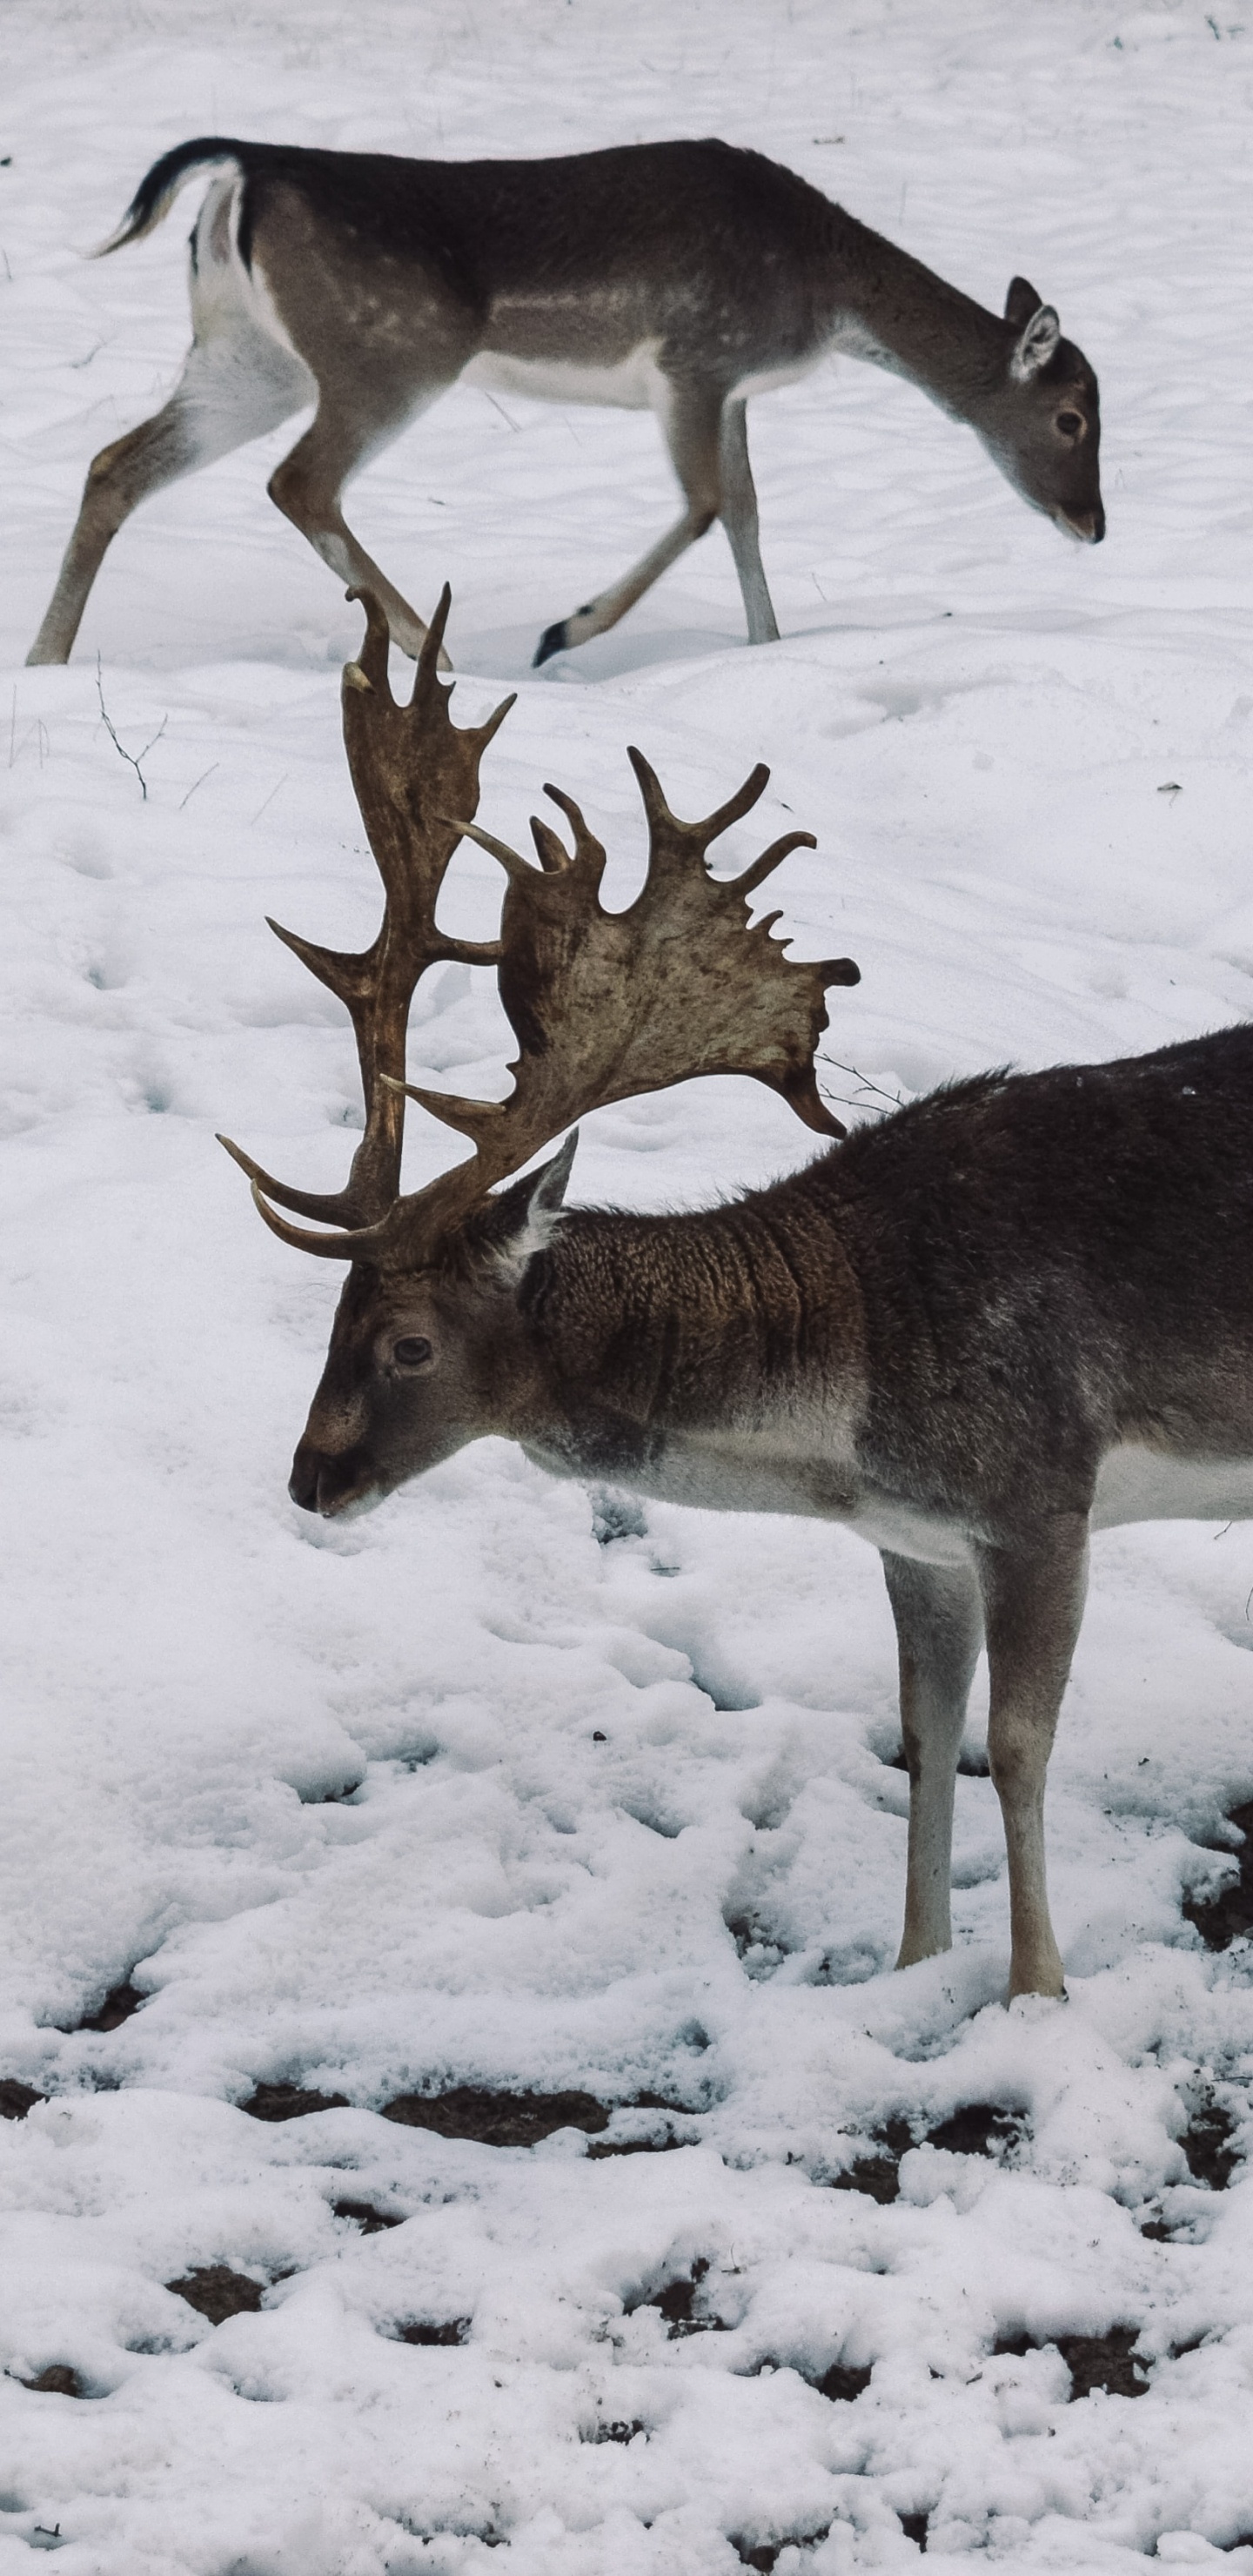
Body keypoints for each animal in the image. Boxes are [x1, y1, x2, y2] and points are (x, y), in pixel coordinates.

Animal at [28, 135, 1103, 672]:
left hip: (248, 357)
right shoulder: (694, 358)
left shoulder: (731, 387)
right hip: (390, 355)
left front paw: (768, 650)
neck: (825, 296)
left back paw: (45, 659)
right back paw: (438, 656)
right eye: (1072, 418)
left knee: (115, 465)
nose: (1093, 524)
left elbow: (748, 512)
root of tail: (241, 174)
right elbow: (708, 506)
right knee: (300, 481)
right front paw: (565, 628)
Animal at [219, 593, 1253, 2004]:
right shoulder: (915, 1537)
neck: (850, 1401)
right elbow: (925, 1734)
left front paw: (1036, 1993)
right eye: (329, 1316)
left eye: (411, 1343)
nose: (310, 1480)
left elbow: (1019, 1746)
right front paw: (909, 1966)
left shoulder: (1042, 1493)